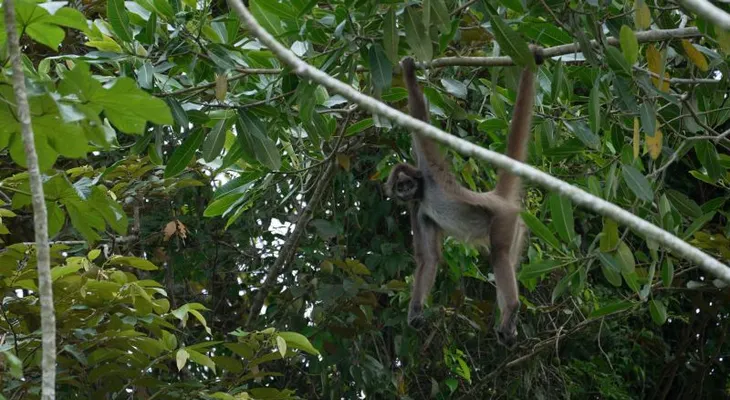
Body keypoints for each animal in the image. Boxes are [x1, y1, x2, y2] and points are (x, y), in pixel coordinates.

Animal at [385, 47, 544, 347]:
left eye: (406, 182)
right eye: (400, 188)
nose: (405, 191)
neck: (425, 193)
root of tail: (497, 196)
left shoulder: (430, 170)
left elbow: (420, 123)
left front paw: (409, 71)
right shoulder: (417, 209)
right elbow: (429, 258)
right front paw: (415, 311)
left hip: (504, 219)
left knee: (499, 255)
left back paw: (512, 309)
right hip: (518, 227)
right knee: (508, 260)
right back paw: (508, 325)